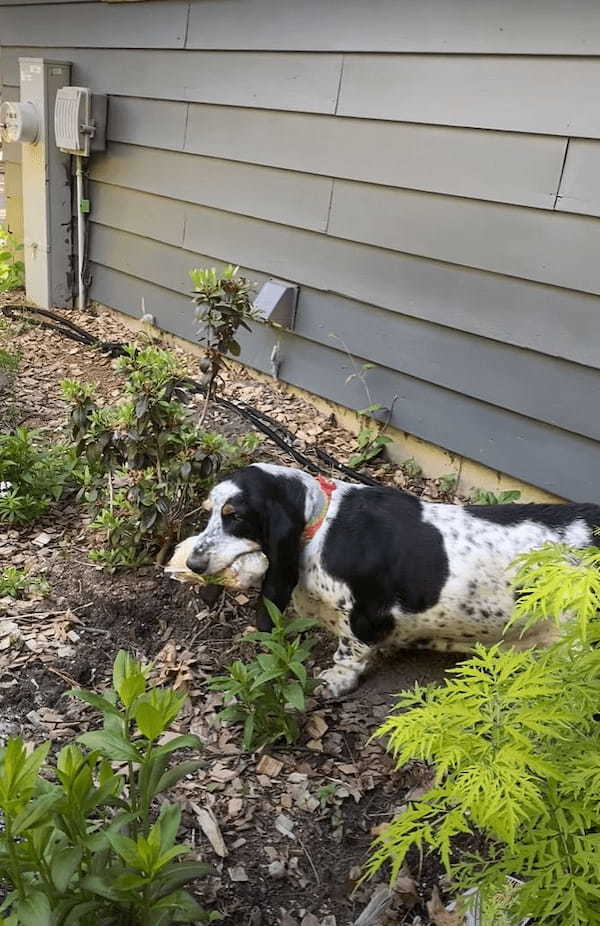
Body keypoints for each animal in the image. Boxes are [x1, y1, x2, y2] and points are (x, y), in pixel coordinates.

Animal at [176, 464, 596, 696]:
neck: (322, 522)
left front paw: (333, 682)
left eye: (235, 516)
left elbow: (349, 653)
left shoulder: (360, 617)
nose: (193, 563)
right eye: (210, 511)